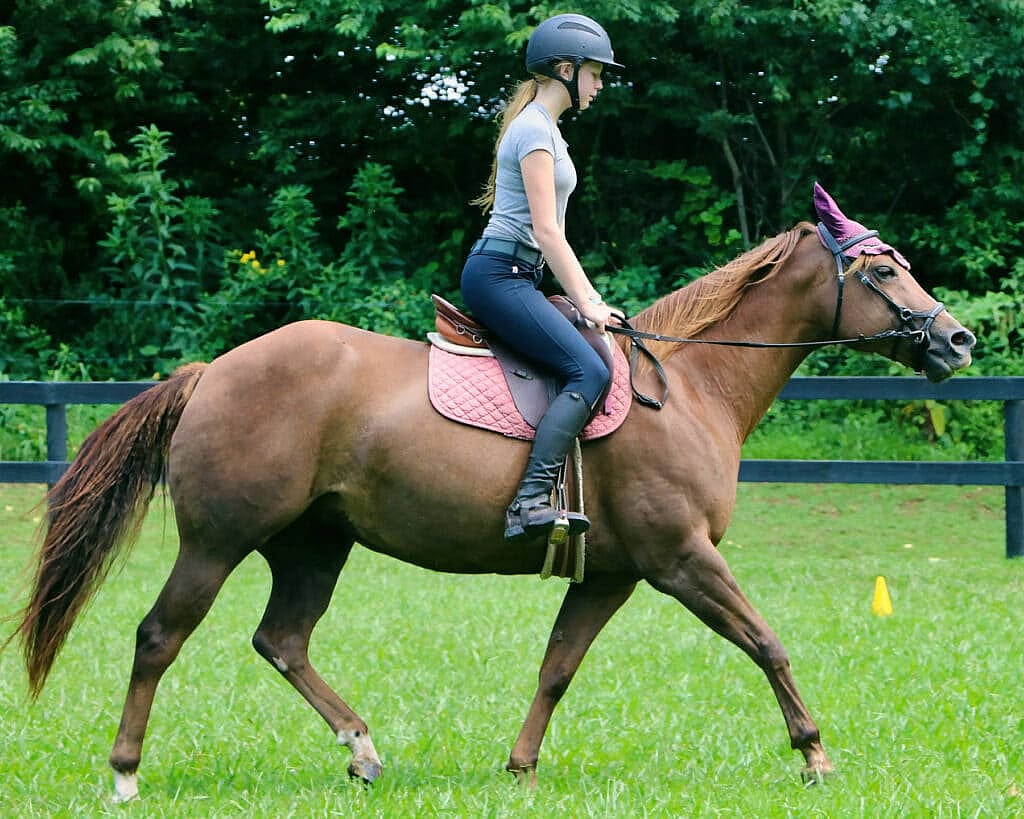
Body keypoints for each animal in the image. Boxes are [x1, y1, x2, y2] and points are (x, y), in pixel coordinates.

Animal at [9, 188, 975, 801]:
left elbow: (556, 667)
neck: (692, 383)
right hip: (218, 541)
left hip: (315, 543)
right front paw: (814, 755)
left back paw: (362, 750)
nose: (958, 340)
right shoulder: (681, 560)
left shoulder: (611, 574)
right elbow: (767, 641)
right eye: (882, 272)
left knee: (281, 640)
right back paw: (126, 770)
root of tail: (213, 370)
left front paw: (519, 768)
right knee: (159, 637)